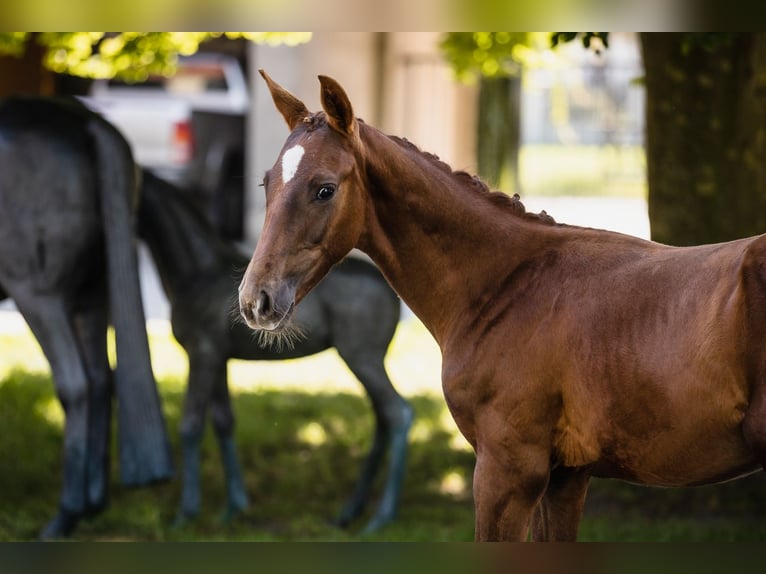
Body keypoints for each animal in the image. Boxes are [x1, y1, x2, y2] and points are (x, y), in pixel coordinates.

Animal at [0, 99, 174, 540]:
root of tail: (86, 122)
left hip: (39, 295)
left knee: (77, 384)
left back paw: (66, 513)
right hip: (90, 297)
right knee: (99, 379)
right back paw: (92, 504)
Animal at [138, 172, 414, 536]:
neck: (198, 271)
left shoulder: (201, 354)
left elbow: (191, 425)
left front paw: (185, 514)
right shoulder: (218, 359)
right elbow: (223, 421)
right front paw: (232, 508)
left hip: (362, 358)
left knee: (398, 414)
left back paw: (379, 518)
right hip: (367, 361)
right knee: (383, 417)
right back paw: (349, 511)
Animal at [243, 72, 766, 544]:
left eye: (324, 188)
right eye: (266, 184)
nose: (256, 300)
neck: (508, 284)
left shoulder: (507, 471)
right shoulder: (565, 477)